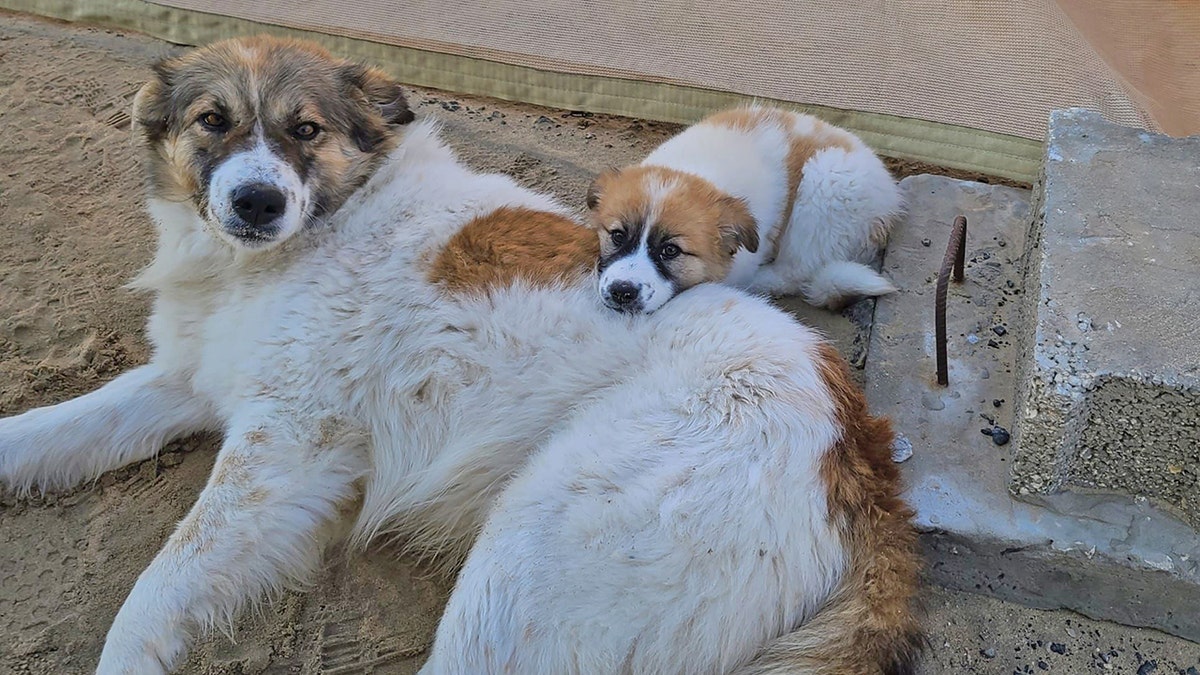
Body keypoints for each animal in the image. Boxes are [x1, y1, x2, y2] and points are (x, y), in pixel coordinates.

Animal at [580, 105, 902, 312]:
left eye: (670, 251)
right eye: (617, 236)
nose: (622, 291)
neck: (694, 168)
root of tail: (891, 199)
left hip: (826, 182)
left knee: (794, 271)